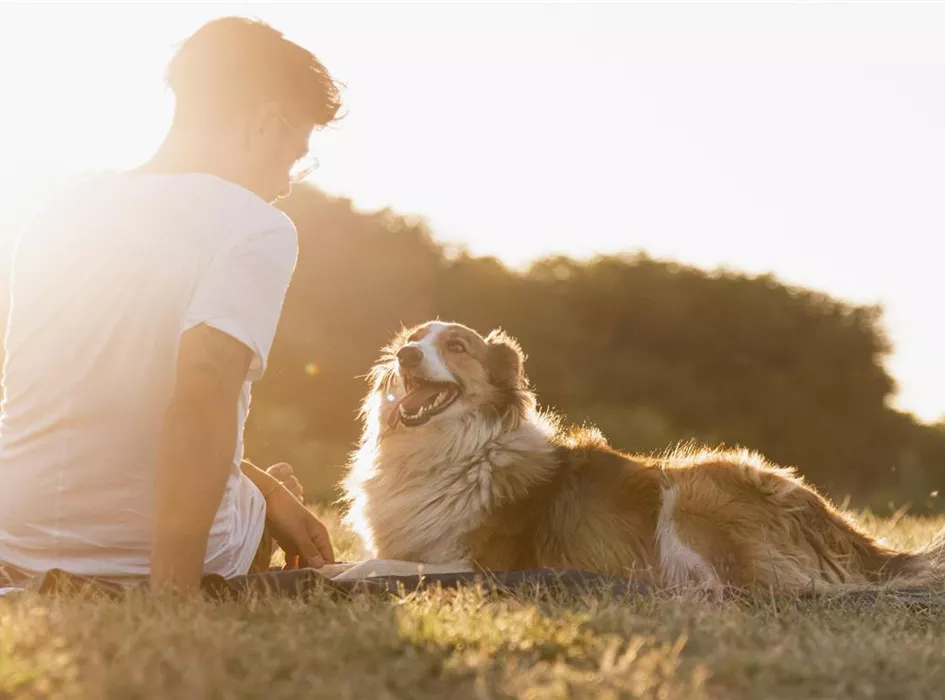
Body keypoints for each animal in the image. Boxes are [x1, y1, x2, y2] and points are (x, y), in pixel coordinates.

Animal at [340, 320, 944, 592]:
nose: (404, 354)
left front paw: (343, 573)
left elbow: (375, 566)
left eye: (456, 346)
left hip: (693, 489)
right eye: (417, 337)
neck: (451, 449)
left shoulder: (480, 563)